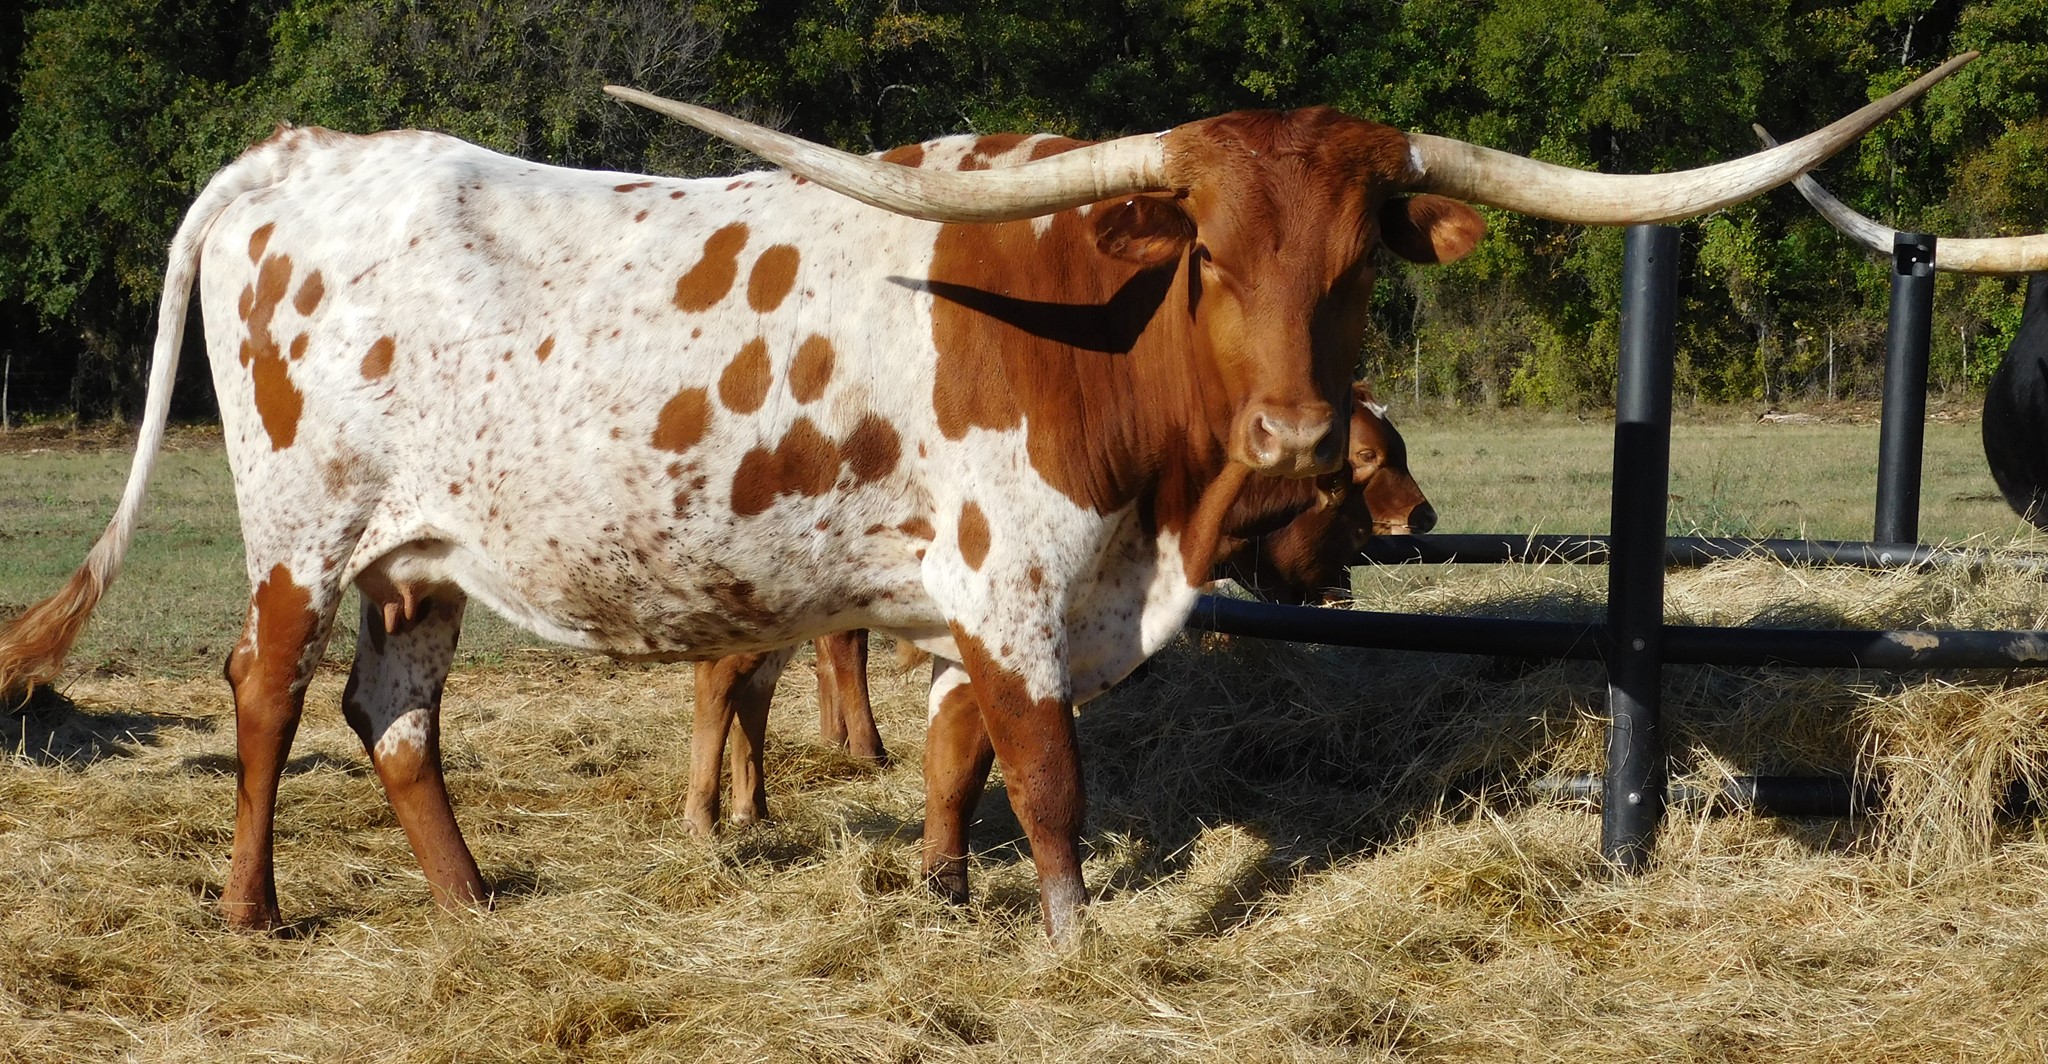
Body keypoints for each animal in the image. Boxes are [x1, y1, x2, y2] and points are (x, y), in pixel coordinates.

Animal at [686, 382, 1434, 834]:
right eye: (1366, 458)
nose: (1424, 516)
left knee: (756, 691)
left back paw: (754, 807)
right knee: (724, 684)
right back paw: (709, 815)